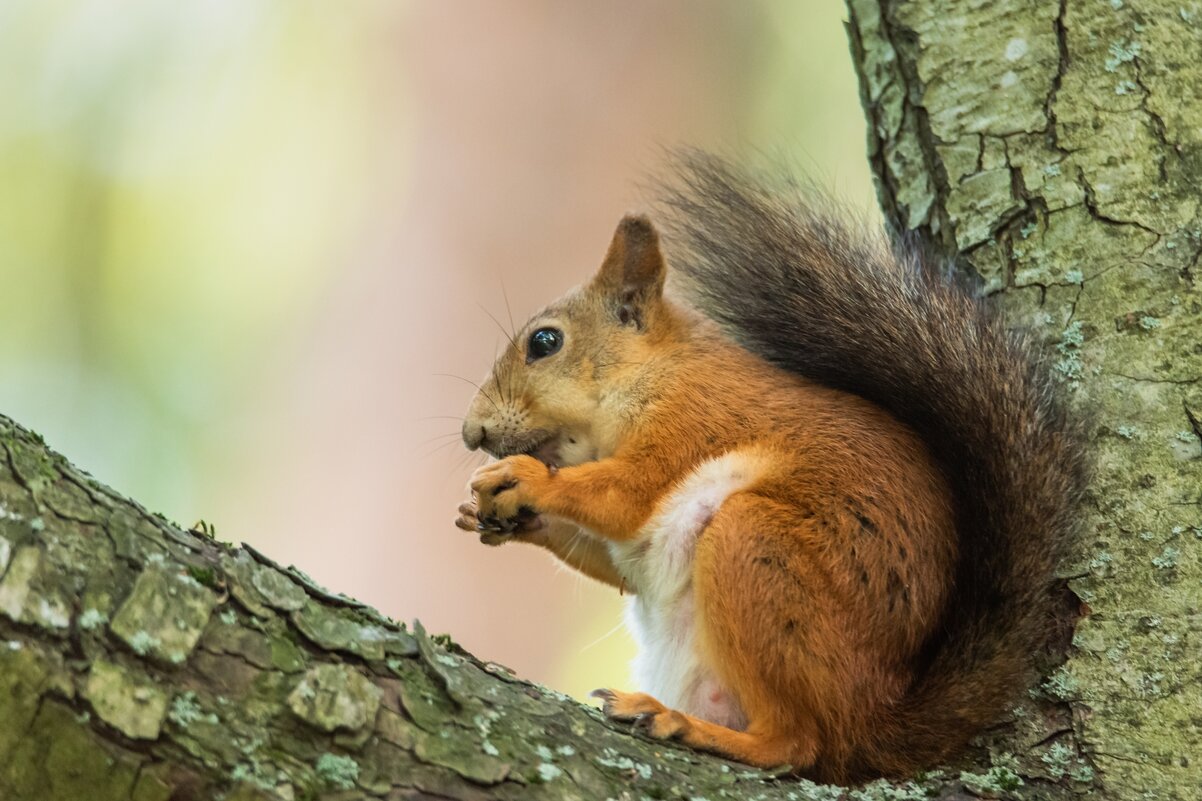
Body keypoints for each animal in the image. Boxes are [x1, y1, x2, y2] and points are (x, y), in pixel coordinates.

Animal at [451, 151, 1091, 779]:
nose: (471, 432)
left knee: (796, 743)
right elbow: (613, 559)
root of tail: (874, 721)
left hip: (754, 548)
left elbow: (623, 498)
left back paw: (687, 726)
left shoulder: (691, 421)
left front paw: (525, 480)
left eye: (545, 342)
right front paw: (501, 518)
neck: (656, 373)